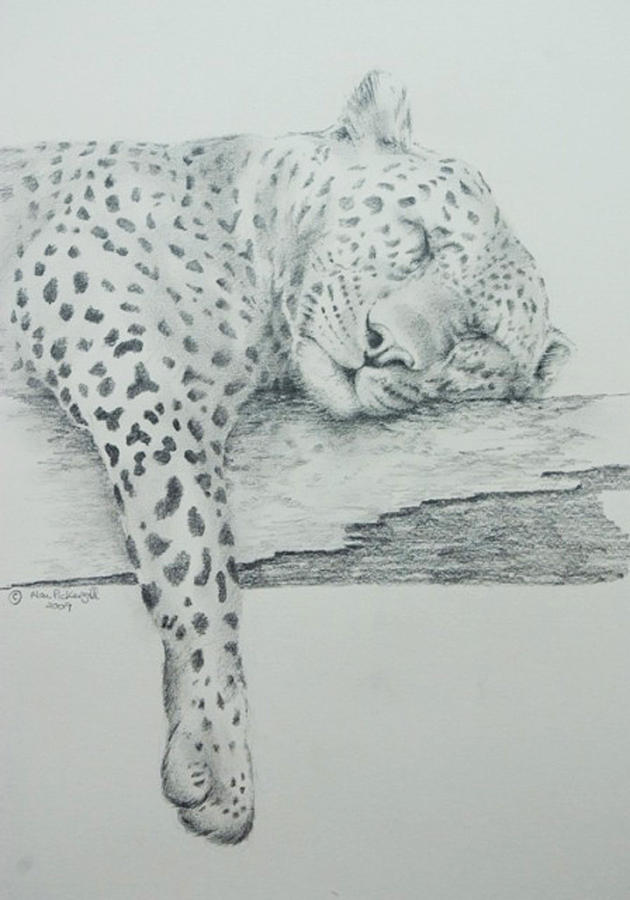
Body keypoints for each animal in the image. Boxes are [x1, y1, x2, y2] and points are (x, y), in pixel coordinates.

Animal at [0, 71, 570, 844]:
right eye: (421, 237)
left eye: (476, 339)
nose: (386, 346)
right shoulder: (125, 353)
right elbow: (196, 552)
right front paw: (216, 752)